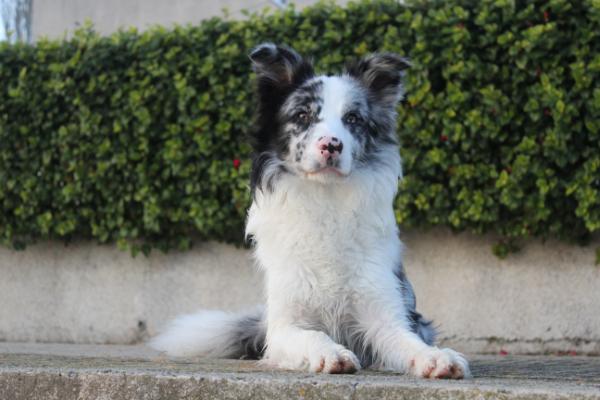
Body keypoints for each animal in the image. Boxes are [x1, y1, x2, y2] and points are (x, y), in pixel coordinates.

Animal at [150, 43, 468, 378]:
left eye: (353, 119)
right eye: (302, 115)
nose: (332, 145)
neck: (325, 201)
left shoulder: (385, 315)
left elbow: (409, 342)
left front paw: (436, 357)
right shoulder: (284, 326)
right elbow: (312, 335)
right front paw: (330, 353)